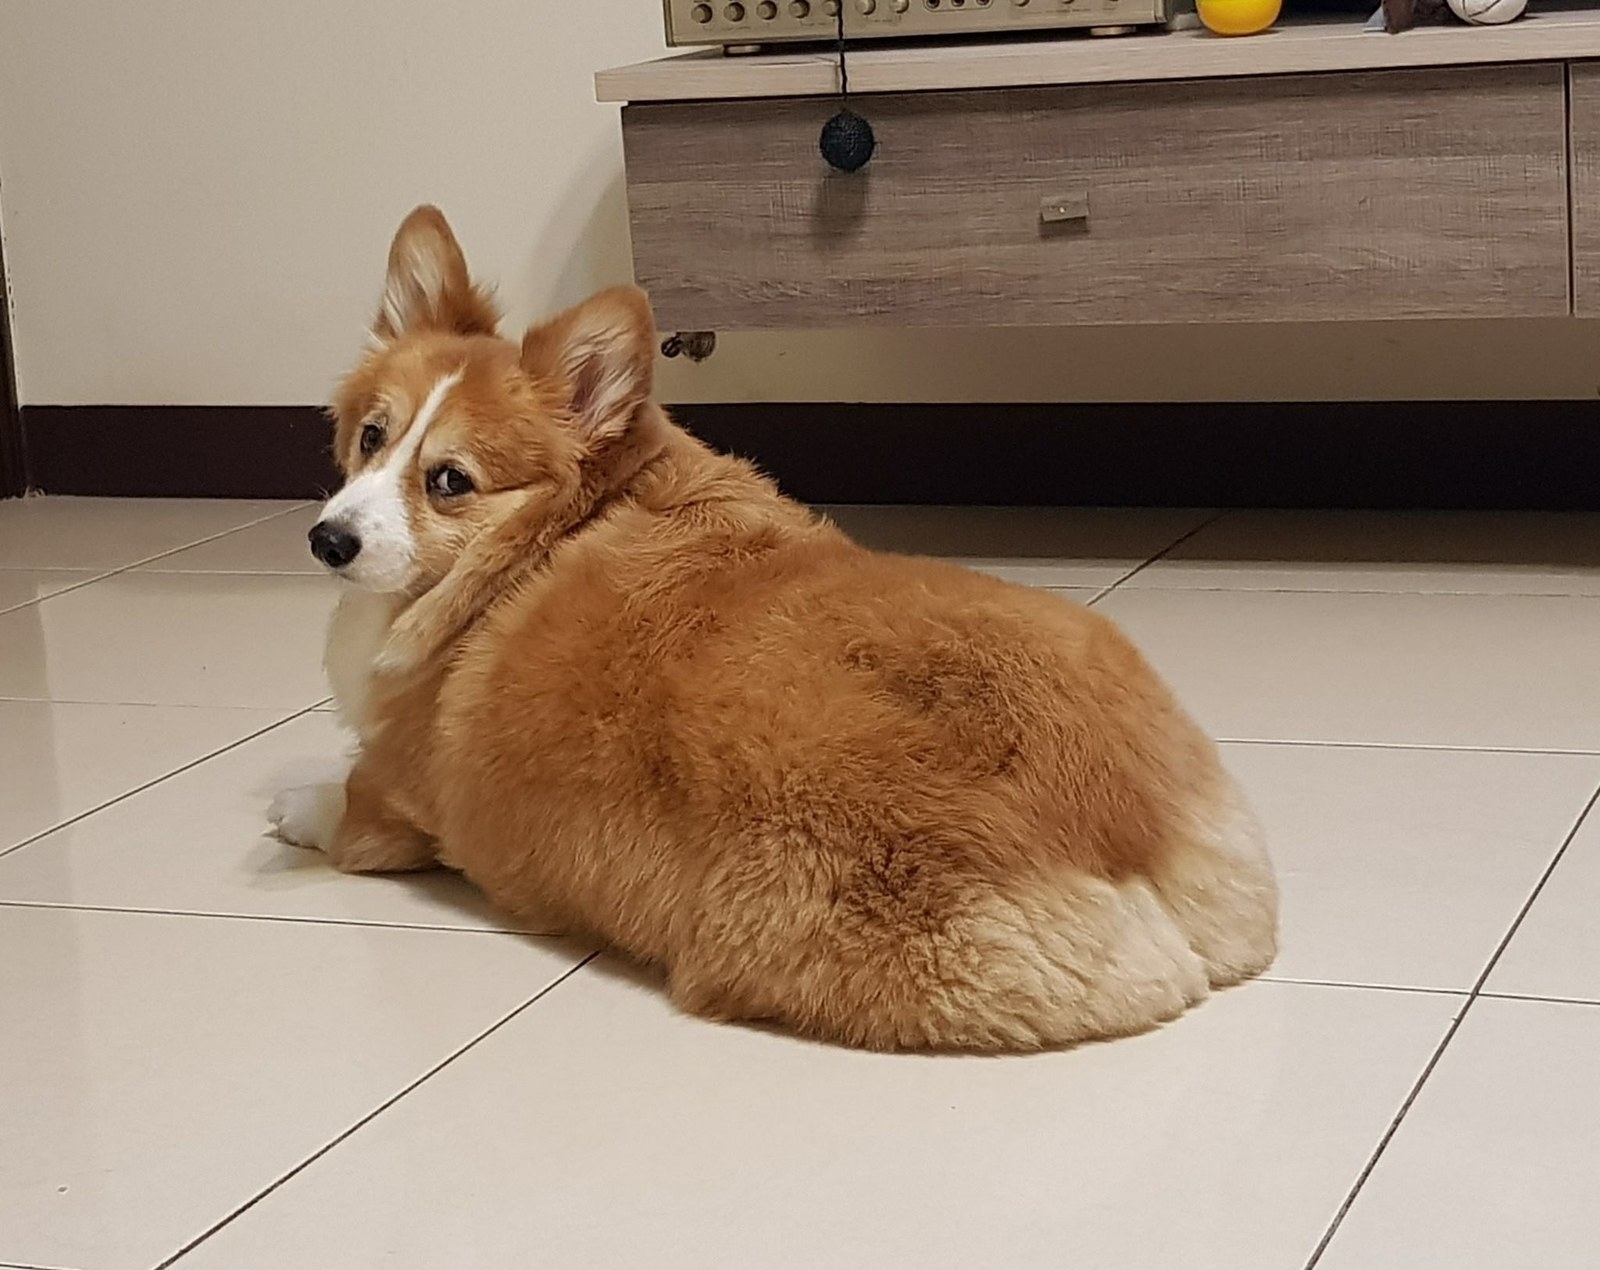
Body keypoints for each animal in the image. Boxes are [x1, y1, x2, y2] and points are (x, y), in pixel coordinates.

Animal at [268, 204, 1280, 1049]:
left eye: (449, 481)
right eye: (371, 437)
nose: (327, 540)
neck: (543, 536)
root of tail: (1128, 826)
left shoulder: (396, 802)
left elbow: (346, 802)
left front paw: (296, 804)